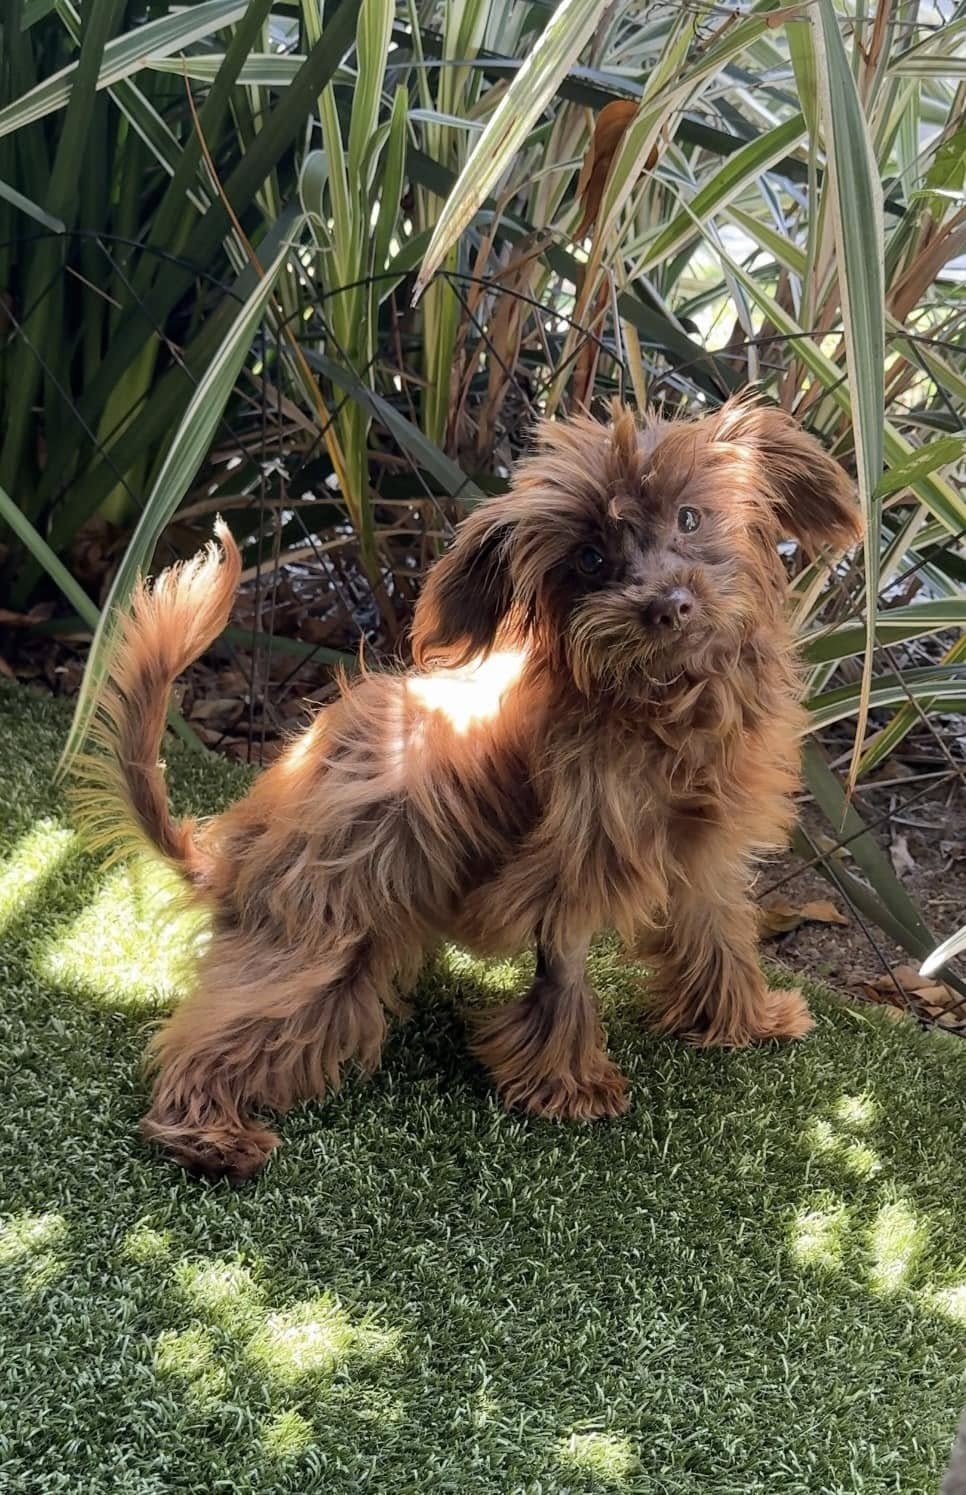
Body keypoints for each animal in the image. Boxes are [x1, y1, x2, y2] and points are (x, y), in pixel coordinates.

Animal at [75, 397, 861, 1178]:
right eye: (589, 558)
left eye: (691, 518)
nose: (667, 604)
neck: (661, 705)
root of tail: (231, 861)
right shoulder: (567, 868)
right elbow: (566, 973)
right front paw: (569, 1084)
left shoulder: (704, 855)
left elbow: (719, 938)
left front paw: (748, 1021)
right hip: (324, 933)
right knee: (233, 1025)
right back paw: (207, 1132)